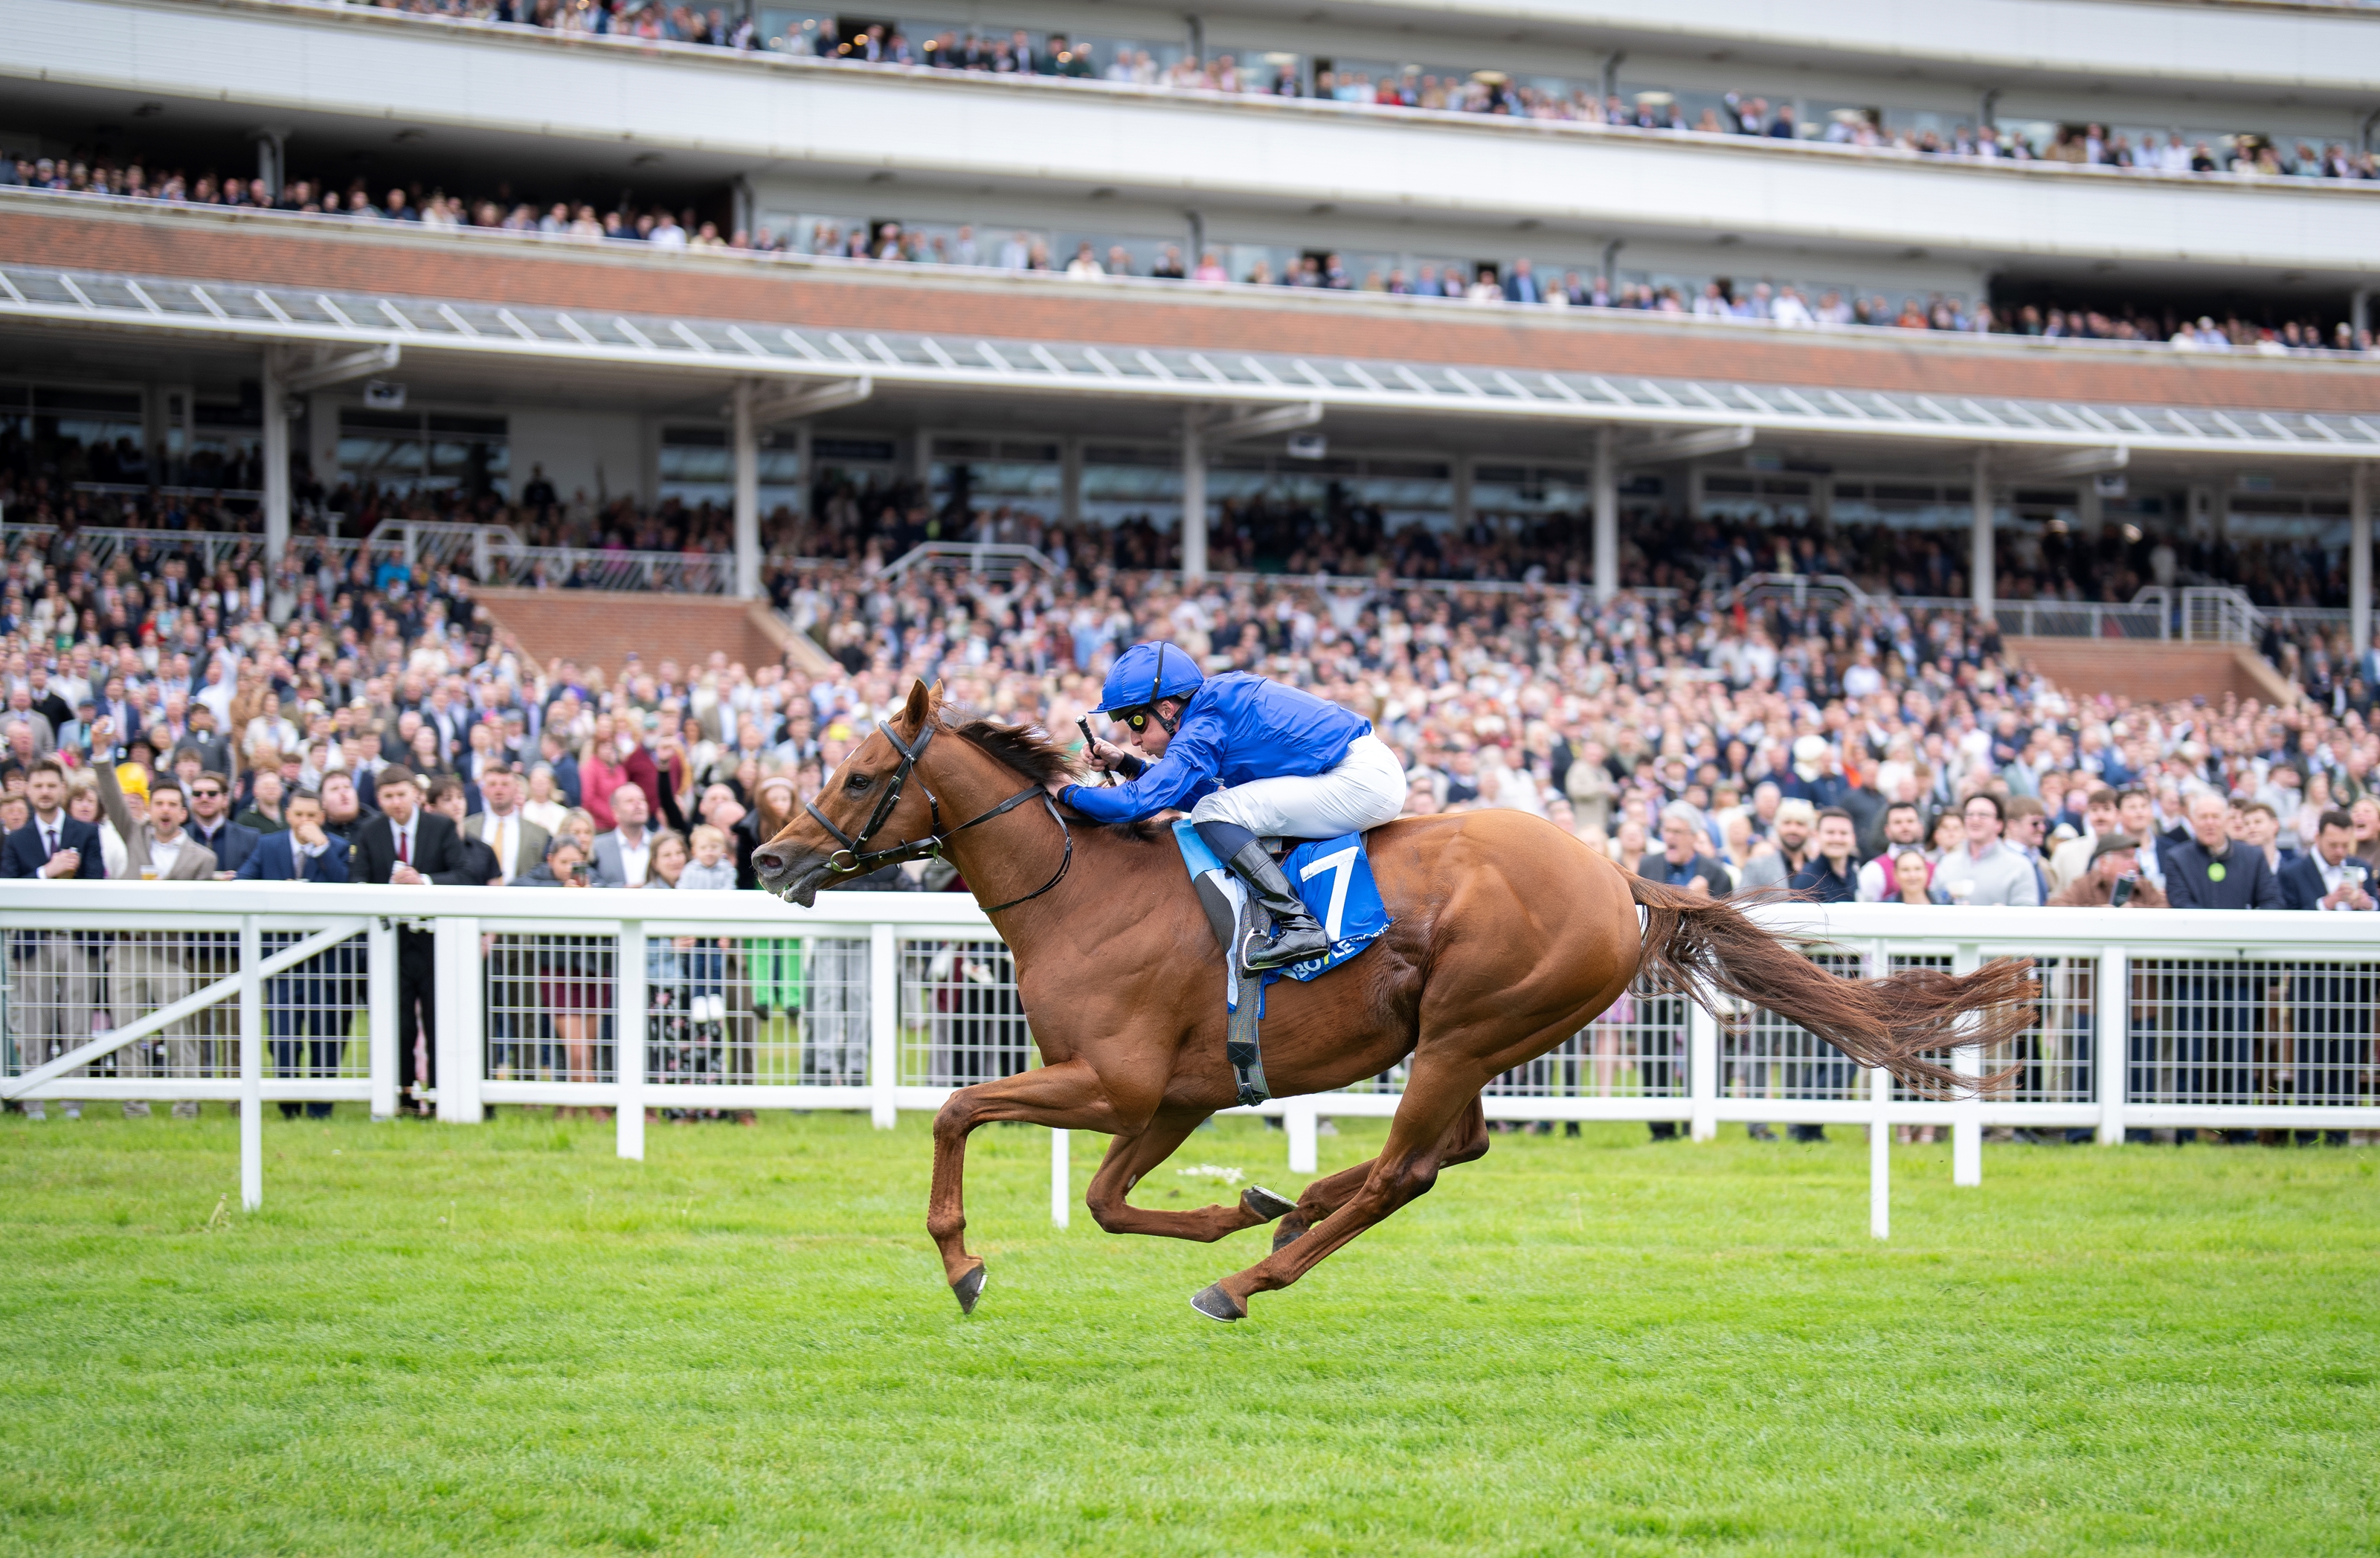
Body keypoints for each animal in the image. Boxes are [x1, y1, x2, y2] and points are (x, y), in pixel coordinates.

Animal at [752, 681, 2036, 1322]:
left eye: (858, 776)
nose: (767, 856)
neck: (1080, 890)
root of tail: (1614, 874)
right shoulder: (1172, 1095)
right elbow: (1113, 1201)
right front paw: (1238, 1201)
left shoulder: (1112, 1080)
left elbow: (957, 1108)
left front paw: (963, 1263)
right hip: (1472, 1037)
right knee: (1447, 1151)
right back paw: (1289, 1210)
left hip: (1470, 1026)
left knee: (1413, 1167)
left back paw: (1249, 1280)